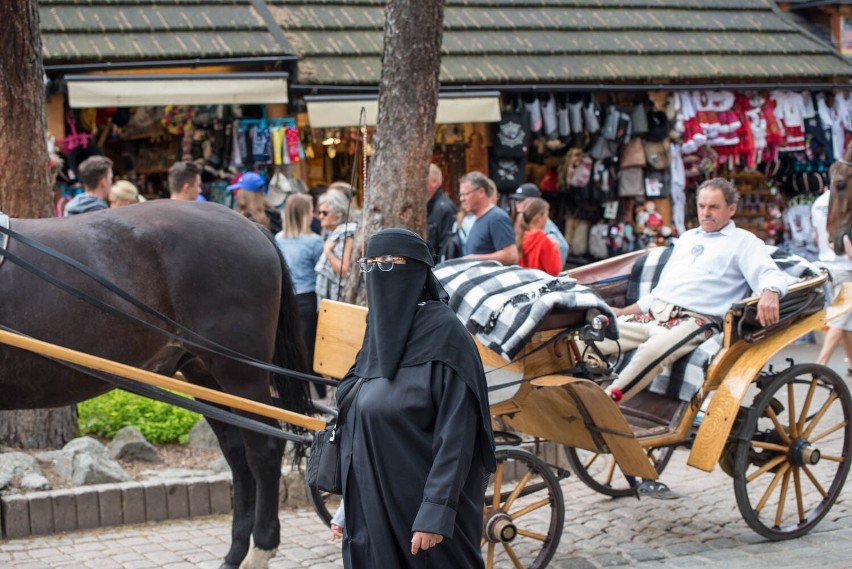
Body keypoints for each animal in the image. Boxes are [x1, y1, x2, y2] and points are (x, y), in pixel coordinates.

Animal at [0, 201, 312, 568]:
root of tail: (250, 225)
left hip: (241, 373)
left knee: (264, 450)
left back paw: (260, 548)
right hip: (205, 375)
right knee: (238, 455)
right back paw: (235, 552)